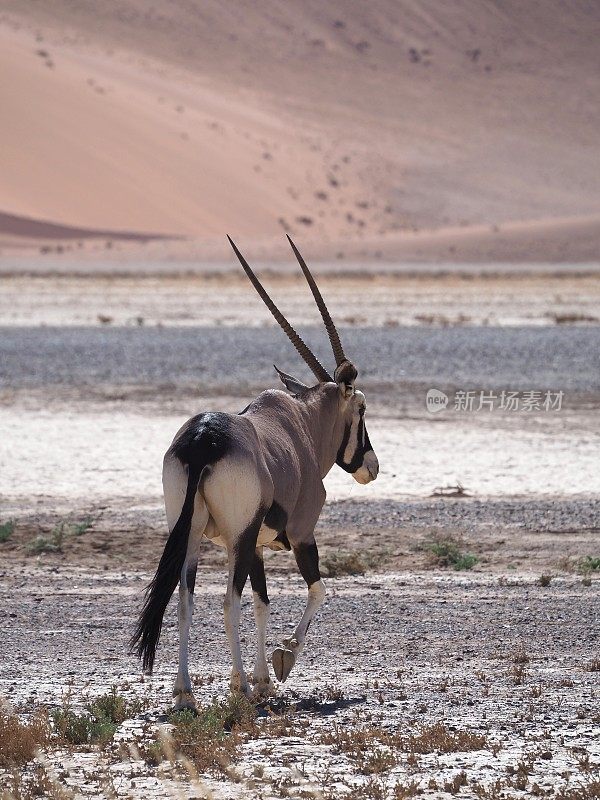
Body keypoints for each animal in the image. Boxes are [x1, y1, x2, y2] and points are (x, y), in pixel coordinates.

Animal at [131, 236, 380, 708]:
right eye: (360, 409)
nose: (371, 467)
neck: (302, 424)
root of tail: (203, 439)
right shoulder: (300, 533)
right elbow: (317, 591)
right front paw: (279, 662)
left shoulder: (260, 547)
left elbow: (263, 603)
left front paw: (263, 678)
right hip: (238, 537)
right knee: (228, 602)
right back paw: (238, 689)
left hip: (191, 532)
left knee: (185, 599)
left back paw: (185, 692)